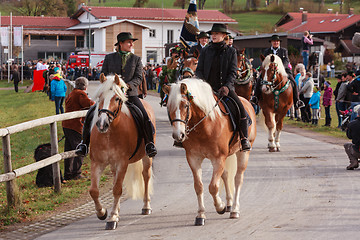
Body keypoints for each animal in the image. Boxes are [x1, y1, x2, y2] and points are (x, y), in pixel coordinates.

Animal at [89, 73, 155, 231]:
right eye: (100, 97)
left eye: (117, 98)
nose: (102, 124)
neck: (109, 134)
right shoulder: (97, 162)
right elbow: (94, 190)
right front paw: (102, 212)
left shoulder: (122, 162)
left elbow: (117, 189)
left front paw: (112, 218)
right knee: (114, 180)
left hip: (146, 157)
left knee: (146, 176)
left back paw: (146, 206)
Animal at [162, 78, 258, 225]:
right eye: (168, 106)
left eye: (185, 105)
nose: (178, 135)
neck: (204, 126)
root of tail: (247, 102)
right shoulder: (193, 158)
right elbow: (199, 186)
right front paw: (201, 215)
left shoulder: (218, 159)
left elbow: (213, 186)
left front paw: (220, 207)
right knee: (226, 175)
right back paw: (229, 204)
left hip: (243, 152)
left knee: (238, 178)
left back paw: (234, 209)